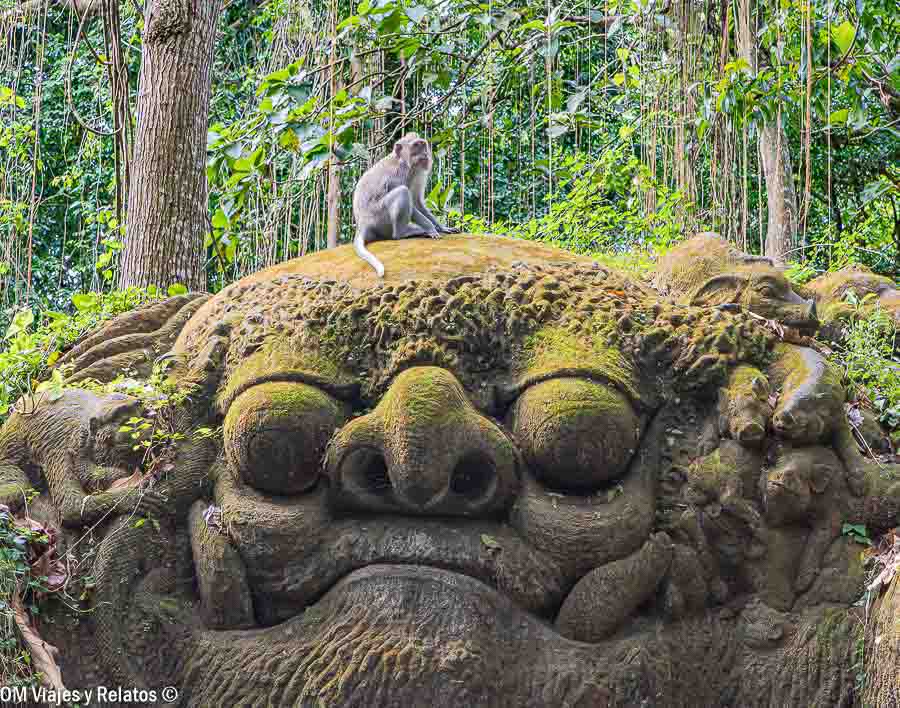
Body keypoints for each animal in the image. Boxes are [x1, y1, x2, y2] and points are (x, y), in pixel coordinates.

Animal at [352, 132, 457, 277]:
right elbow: (412, 205)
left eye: (422, 144)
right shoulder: (401, 175)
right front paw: (431, 229)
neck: (405, 163)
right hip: (379, 218)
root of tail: (362, 225)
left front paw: (441, 227)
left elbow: (418, 202)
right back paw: (404, 232)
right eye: (416, 146)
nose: (425, 154)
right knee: (402, 192)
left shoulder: (418, 173)